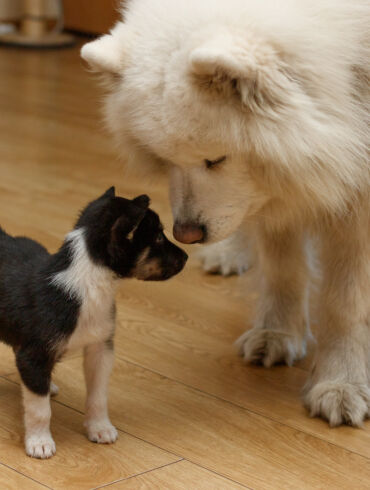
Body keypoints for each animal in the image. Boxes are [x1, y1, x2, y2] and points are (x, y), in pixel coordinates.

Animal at [0, 188, 186, 460]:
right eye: (159, 238)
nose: (187, 256)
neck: (88, 283)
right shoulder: (34, 354)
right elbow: (39, 410)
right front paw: (39, 442)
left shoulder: (100, 348)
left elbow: (98, 396)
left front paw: (99, 428)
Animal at [81, 0, 370, 426]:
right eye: (165, 160)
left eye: (215, 159)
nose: (185, 234)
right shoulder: (274, 193)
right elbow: (284, 269)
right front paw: (277, 335)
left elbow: (346, 303)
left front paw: (341, 383)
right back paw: (228, 255)